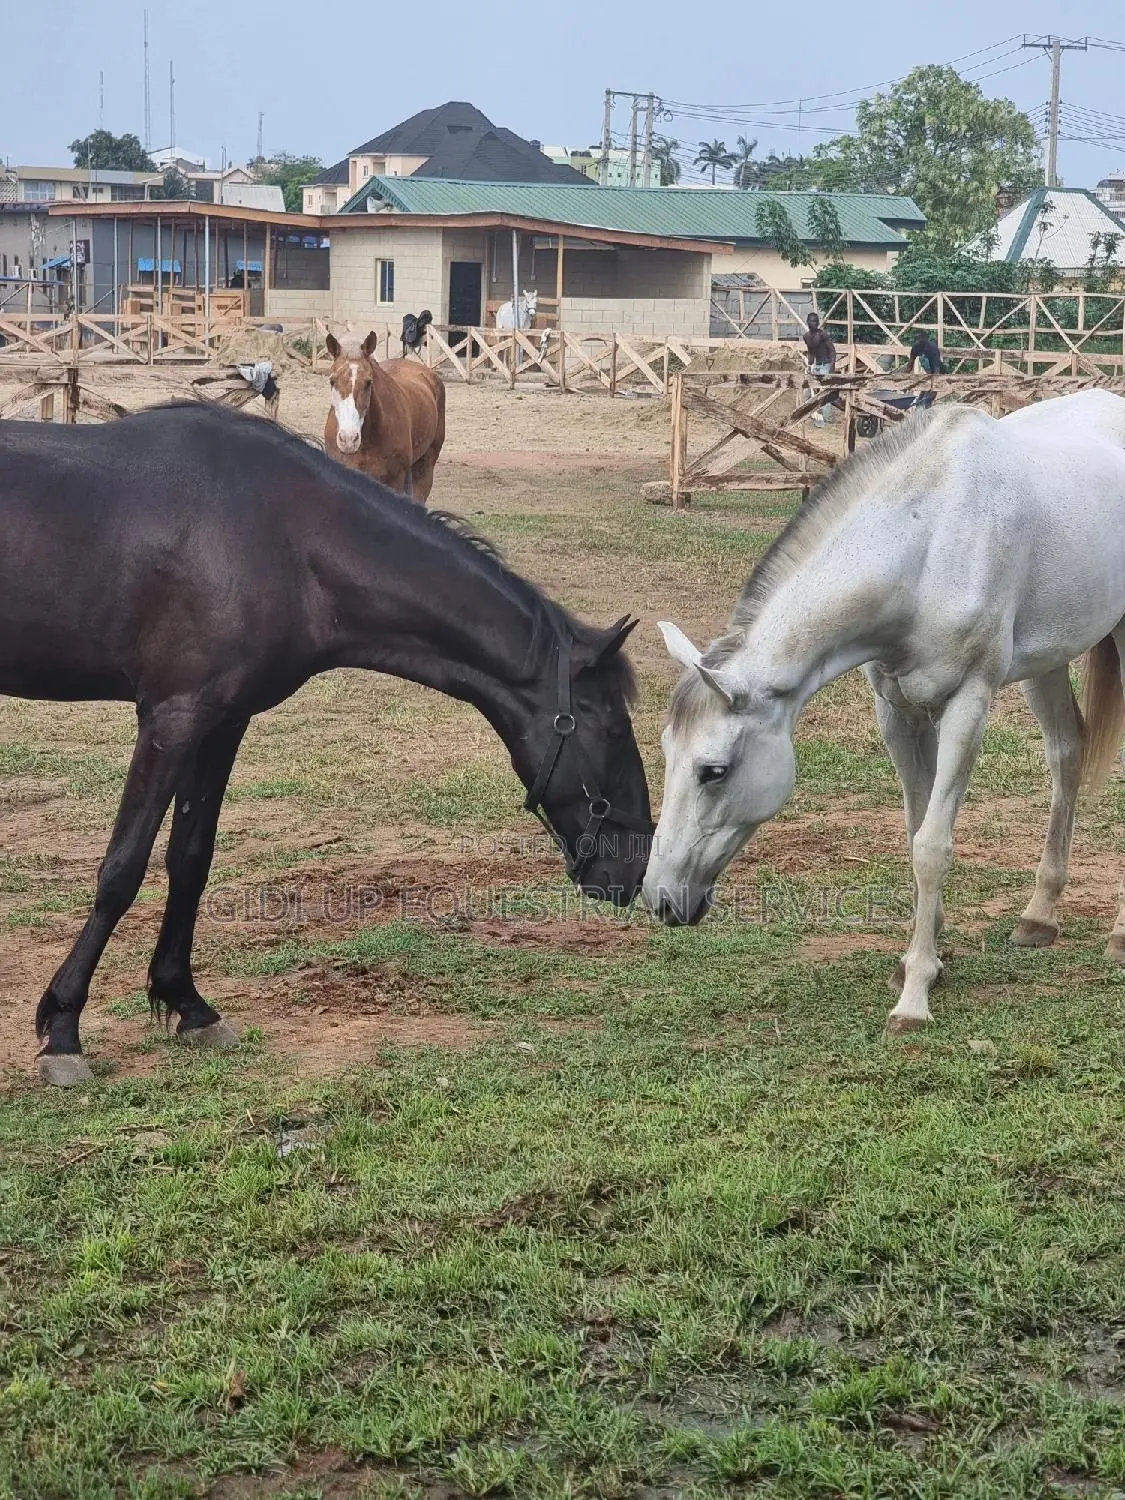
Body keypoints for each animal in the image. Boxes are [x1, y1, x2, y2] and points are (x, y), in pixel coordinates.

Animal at [0, 404, 651, 1086]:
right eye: (611, 727)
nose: (632, 871)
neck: (284, 539)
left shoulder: (222, 722)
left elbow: (190, 860)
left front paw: (189, 1004)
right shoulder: (173, 719)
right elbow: (121, 871)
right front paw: (64, 1029)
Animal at [643, 390, 1125, 1033]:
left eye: (712, 770)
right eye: (667, 754)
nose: (660, 898)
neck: (929, 542)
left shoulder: (967, 704)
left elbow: (932, 847)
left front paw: (915, 995)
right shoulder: (898, 711)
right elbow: (915, 828)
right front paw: (925, 956)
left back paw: (1119, 934)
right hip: (1047, 660)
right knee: (1066, 754)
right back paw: (1039, 915)